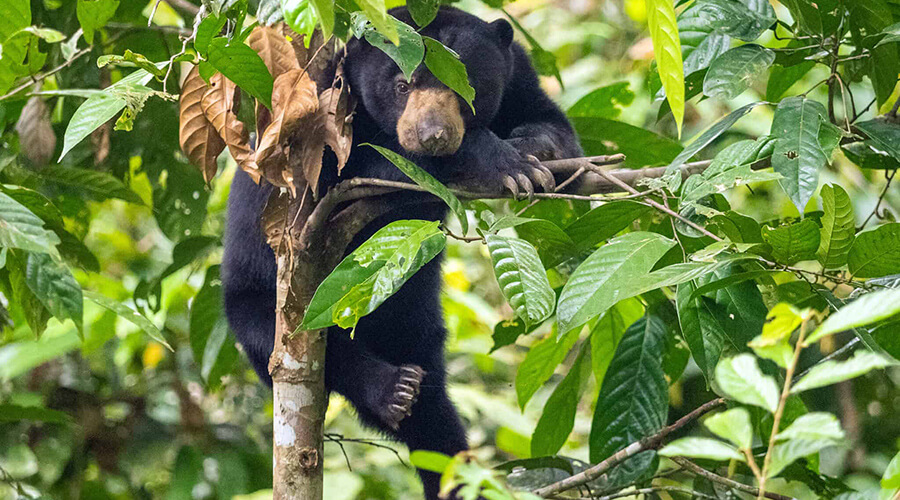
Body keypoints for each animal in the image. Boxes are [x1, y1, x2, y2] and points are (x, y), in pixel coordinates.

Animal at [221, 6, 582, 499]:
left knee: (432, 410)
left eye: (466, 87)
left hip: (412, 316)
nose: (433, 135)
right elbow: (361, 169)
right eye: (401, 85)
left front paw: (530, 152)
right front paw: (501, 161)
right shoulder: (322, 110)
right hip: (258, 303)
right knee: (303, 347)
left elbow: (560, 134)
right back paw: (392, 389)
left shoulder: (521, 77)